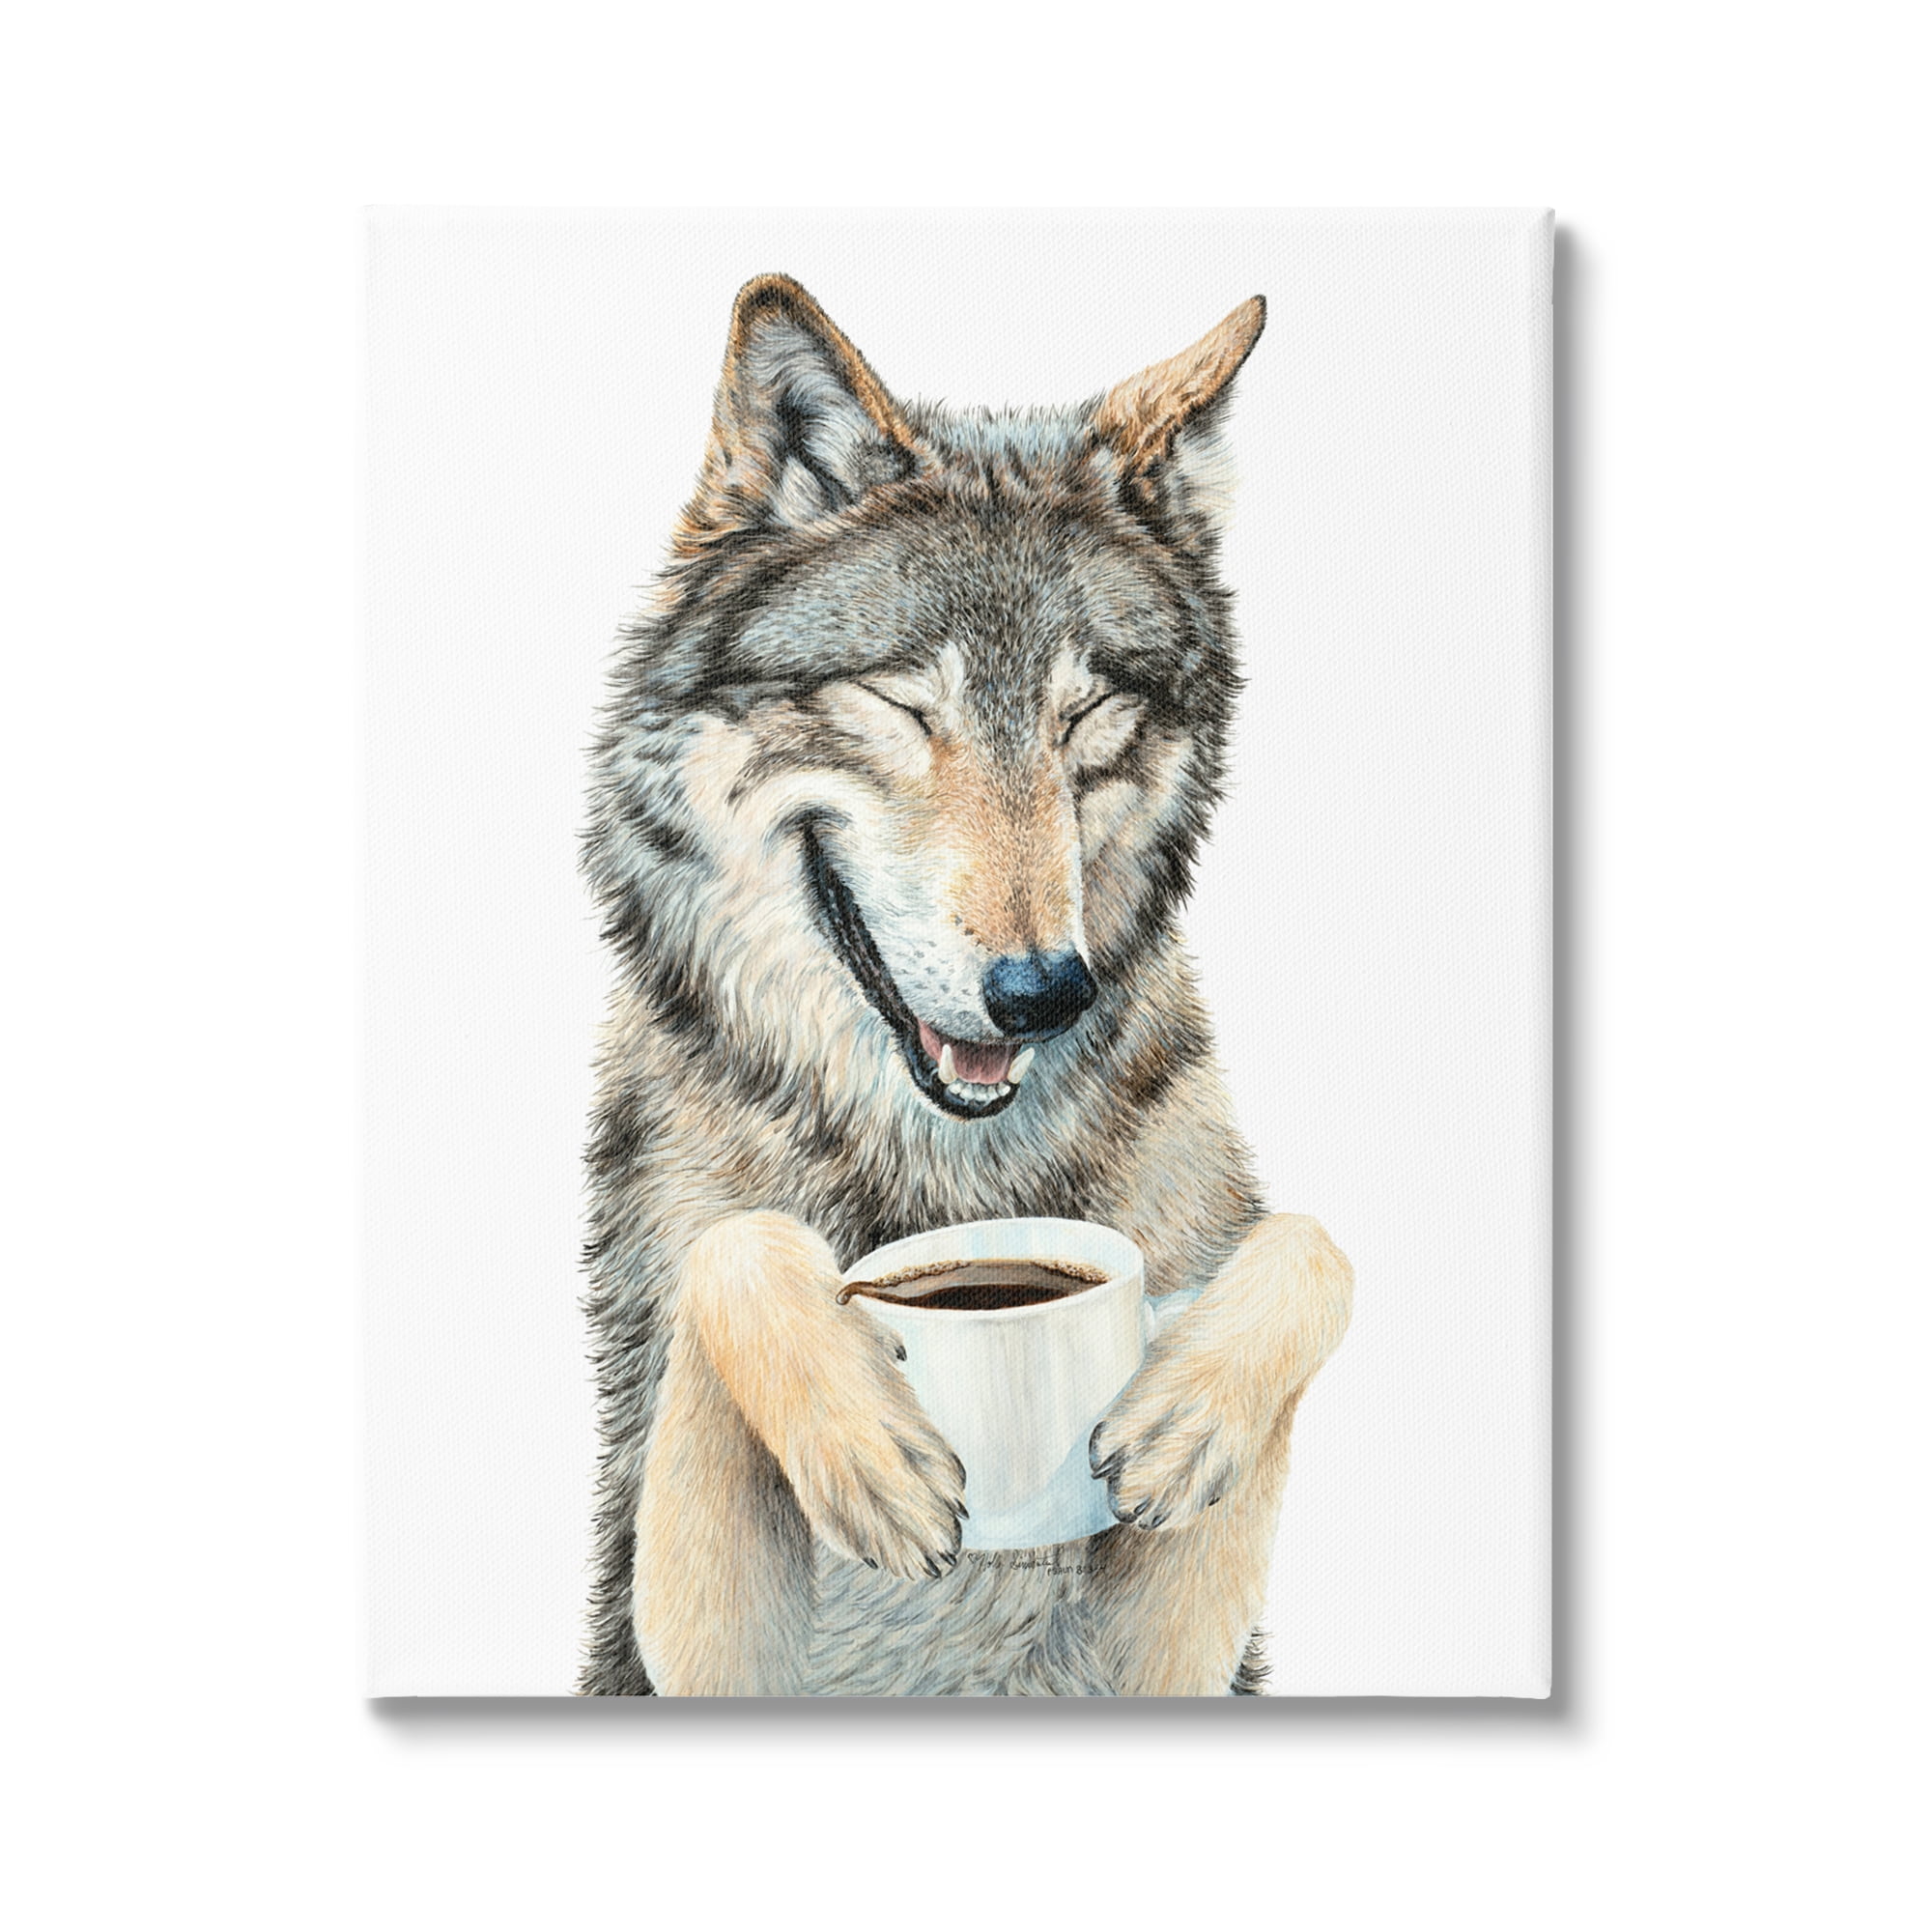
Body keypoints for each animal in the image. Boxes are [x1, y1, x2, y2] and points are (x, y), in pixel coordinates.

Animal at [580, 274, 1353, 1696]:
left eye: (1085, 715)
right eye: (903, 705)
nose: (1045, 991)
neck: (950, 1176)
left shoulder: (1175, 1650)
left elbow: (1308, 1241)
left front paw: (1186, 1413)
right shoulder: (674, 1630)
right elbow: (737, 1241)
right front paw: (865, 1444)